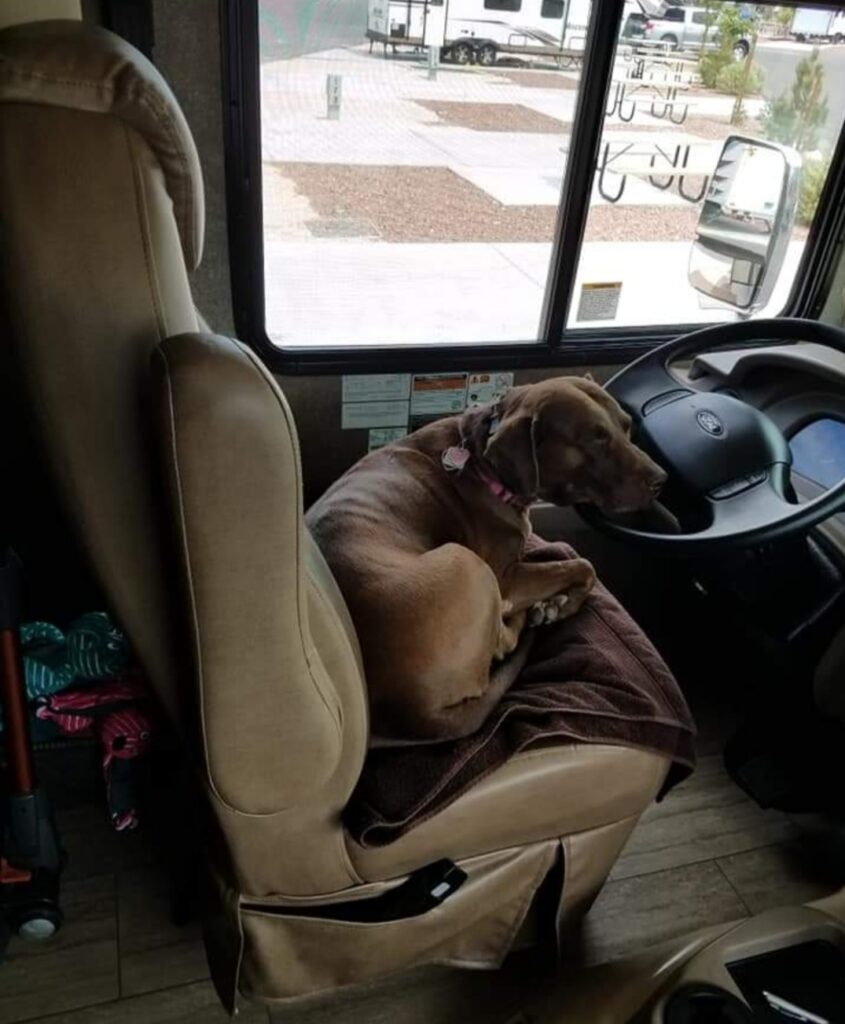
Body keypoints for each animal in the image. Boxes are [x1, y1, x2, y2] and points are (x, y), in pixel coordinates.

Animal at [305, 380, 667, 741]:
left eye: (626, 426)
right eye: (595, 437)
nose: (661, 479)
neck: (483, 463)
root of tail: (412, 711)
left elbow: (564, 558)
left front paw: (557, 600)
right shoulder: (507, 578)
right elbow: (582, 564)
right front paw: (560, 604)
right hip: (468, 564)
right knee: (501, 643)